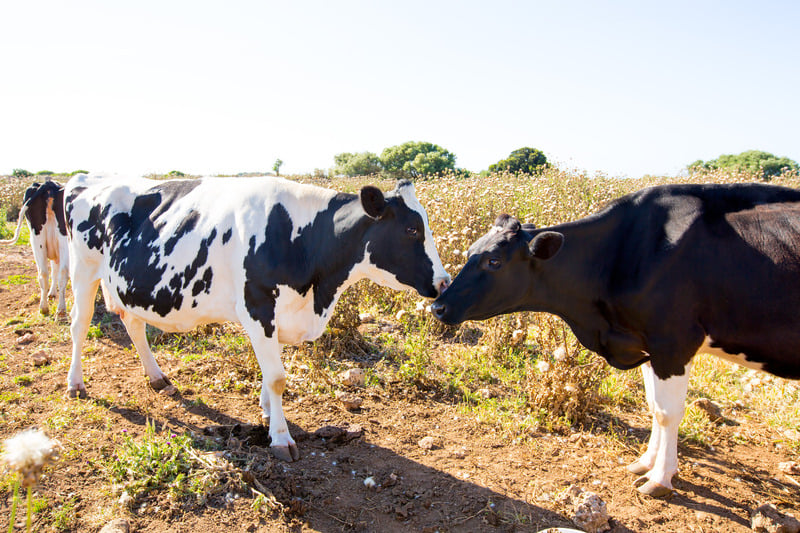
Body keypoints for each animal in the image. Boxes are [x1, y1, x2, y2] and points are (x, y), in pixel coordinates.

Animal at [1, 180, 69, 318]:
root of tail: (50, 184)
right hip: (60, 239)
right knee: (60, 273)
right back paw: (60, 310)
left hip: (37, 238)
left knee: (44, 273)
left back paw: (45, 308)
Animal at [64, 173, 449, 461]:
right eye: (412, 230)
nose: (444, 282)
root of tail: (85, 179)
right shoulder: (258, 305)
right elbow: (278, 378)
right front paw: (280, 437)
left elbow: (269, 374)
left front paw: (266, 413)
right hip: (83, 269)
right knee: (79, 324)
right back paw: (75, 384)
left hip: (126, 284)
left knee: (133, 322)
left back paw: (158, 377)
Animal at [431, 182, 800, 497]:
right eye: (470, 251)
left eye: (494, 261)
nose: (438, 305)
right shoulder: (645, 343)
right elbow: (653, 407)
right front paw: (645, 463)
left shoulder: (673, 342)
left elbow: (669, 413)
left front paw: (660, 477)